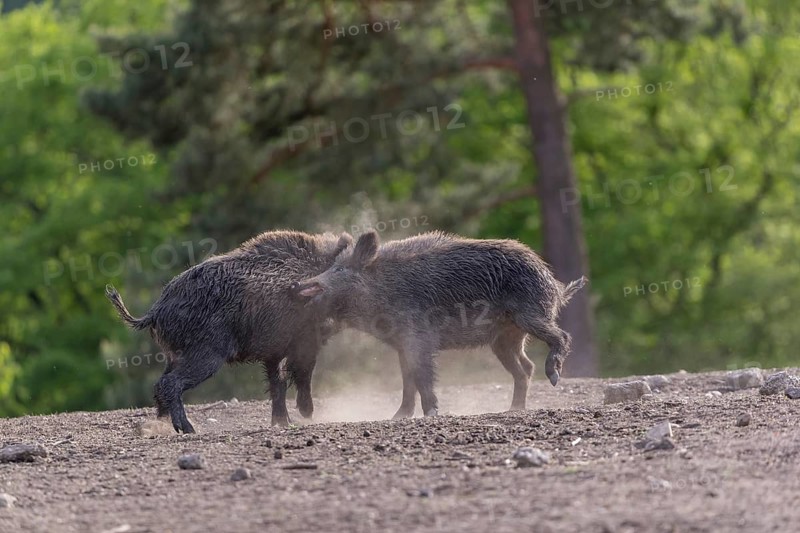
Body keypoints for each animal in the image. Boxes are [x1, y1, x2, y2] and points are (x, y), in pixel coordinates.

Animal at [105, 230, 352, 433]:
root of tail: (156, 310)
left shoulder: (273, 351)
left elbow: (277, 383)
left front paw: (282, 423)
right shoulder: (305, 339)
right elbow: (302, 374)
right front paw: (307, 415)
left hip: (174, 354)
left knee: (159, 384)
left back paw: (161, 426)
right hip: (206, 353)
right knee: (169, 383)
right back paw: (188, 429)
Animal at [293, 230, 586, 418]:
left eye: (340, 270)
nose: (299, 284)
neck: (381, 289)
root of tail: (555, 283)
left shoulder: (418, 336)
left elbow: (421, 374)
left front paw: (431, 413)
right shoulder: (402, 344)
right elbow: (407, 379)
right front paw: (398, 416)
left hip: (531, 315)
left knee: (561, 337)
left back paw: (553, 378)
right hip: (504, 339)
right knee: (525, 368)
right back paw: (513, 409)